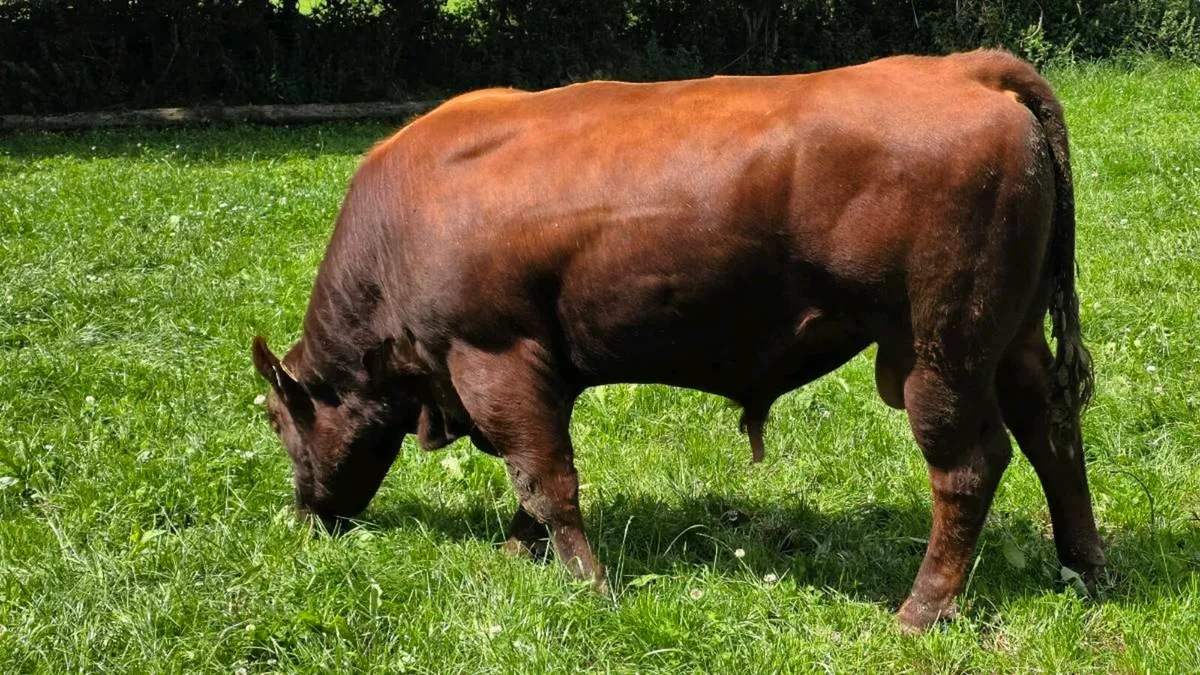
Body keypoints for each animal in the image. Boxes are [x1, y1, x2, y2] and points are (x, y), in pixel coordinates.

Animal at [251, 49, 1104, 632]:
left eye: (277, 418)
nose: (305, 515)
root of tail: (967, 69)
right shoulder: (540, 374)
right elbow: (535, 481)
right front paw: (520, 551)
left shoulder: (493, 359)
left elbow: (546, 478)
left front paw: (590, 585)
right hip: (1014, 339)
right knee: (1053, 434)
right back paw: (1085, 567)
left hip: (941, 354)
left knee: (968, 467)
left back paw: (920, 609)